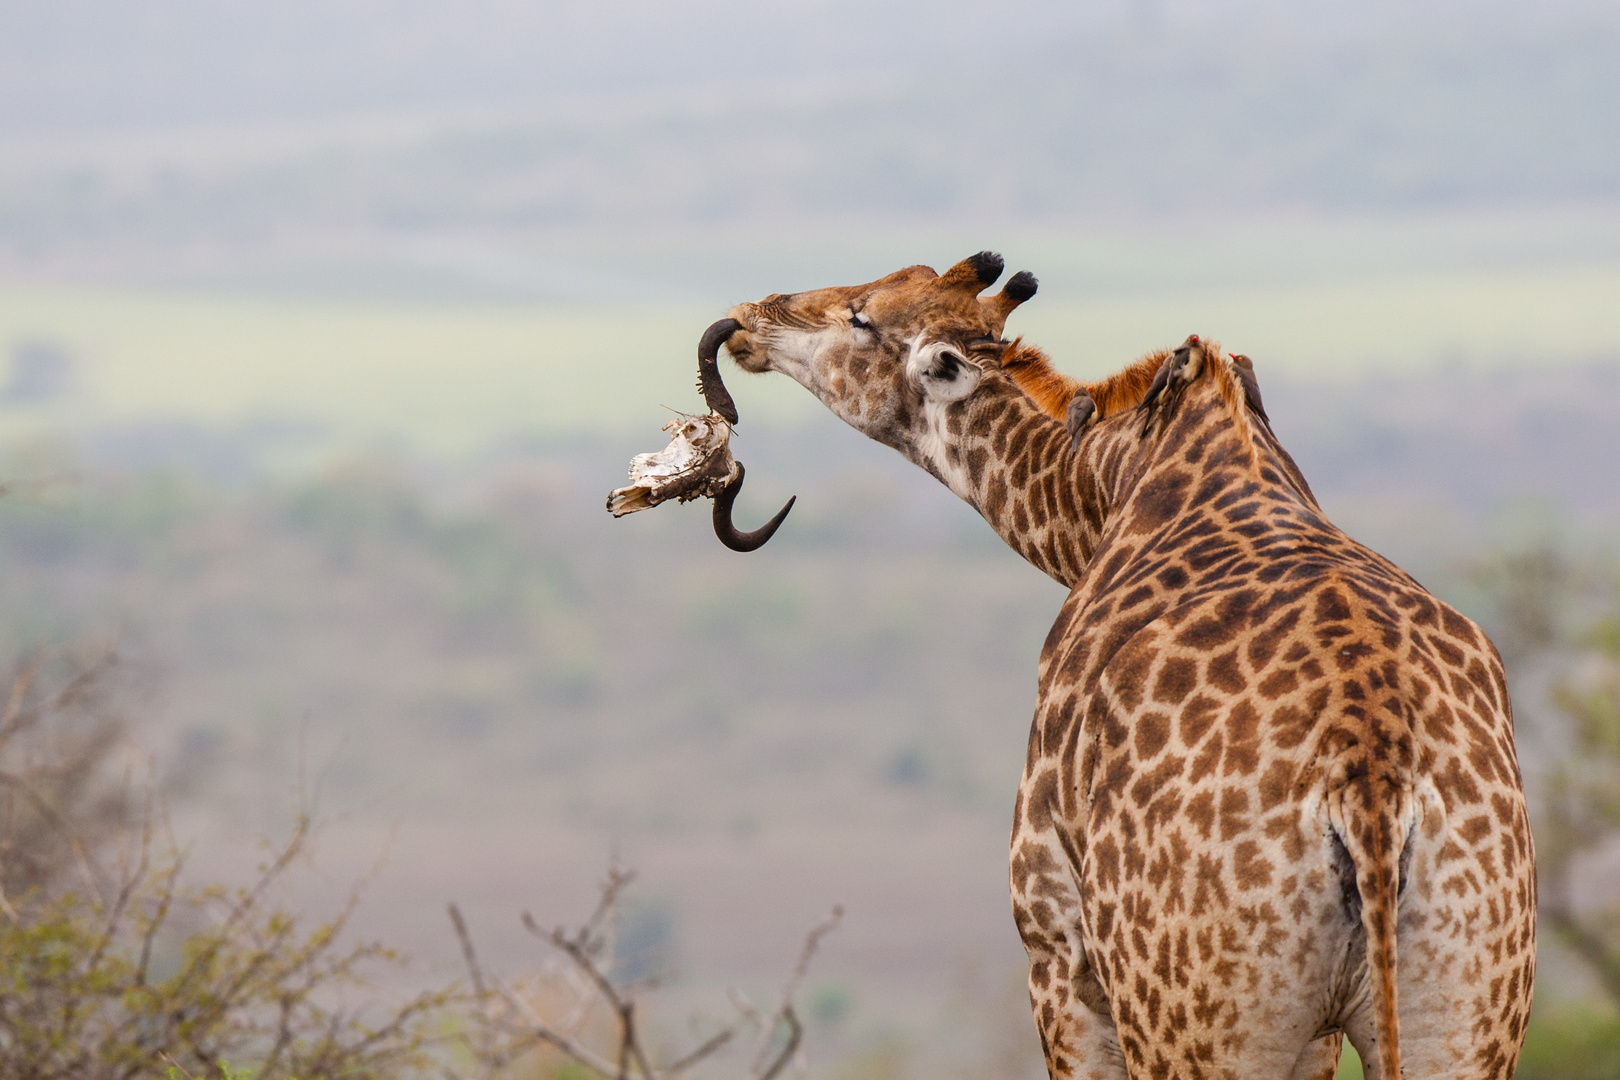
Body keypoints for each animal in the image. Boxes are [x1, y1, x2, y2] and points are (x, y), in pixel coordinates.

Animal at [693, 255, 1529, 1080]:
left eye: (863, 316)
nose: (752, 316)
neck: (1103, 478)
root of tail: (1371, 777)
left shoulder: (1056, 948)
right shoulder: (1320, 1035)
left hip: (1185, 1017)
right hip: (1464, 1011)